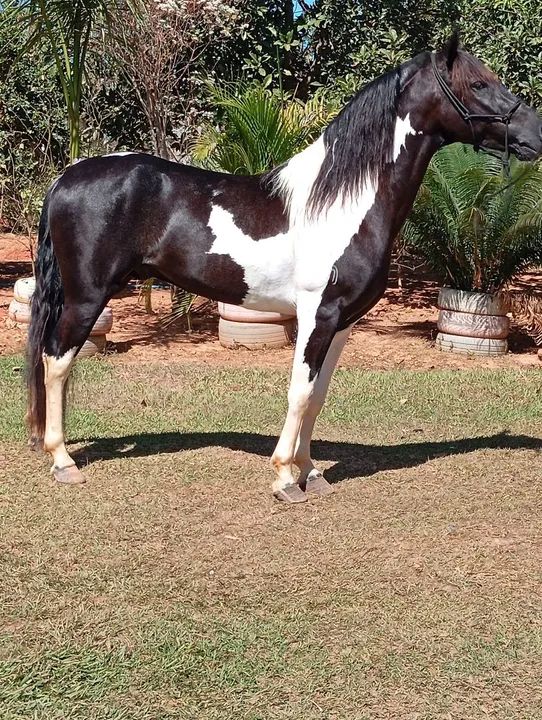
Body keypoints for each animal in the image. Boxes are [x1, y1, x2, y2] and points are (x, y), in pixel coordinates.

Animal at [26, 33, 542, 502]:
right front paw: (284, 478)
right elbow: (299, 391)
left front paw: (311, 473)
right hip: (88, 296)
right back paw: (63, 461)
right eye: (478, 83)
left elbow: (318, 395)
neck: (342, 202)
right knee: (56, 361)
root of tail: (66, 177)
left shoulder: (342, 321)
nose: (535, 134)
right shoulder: (316, 313)